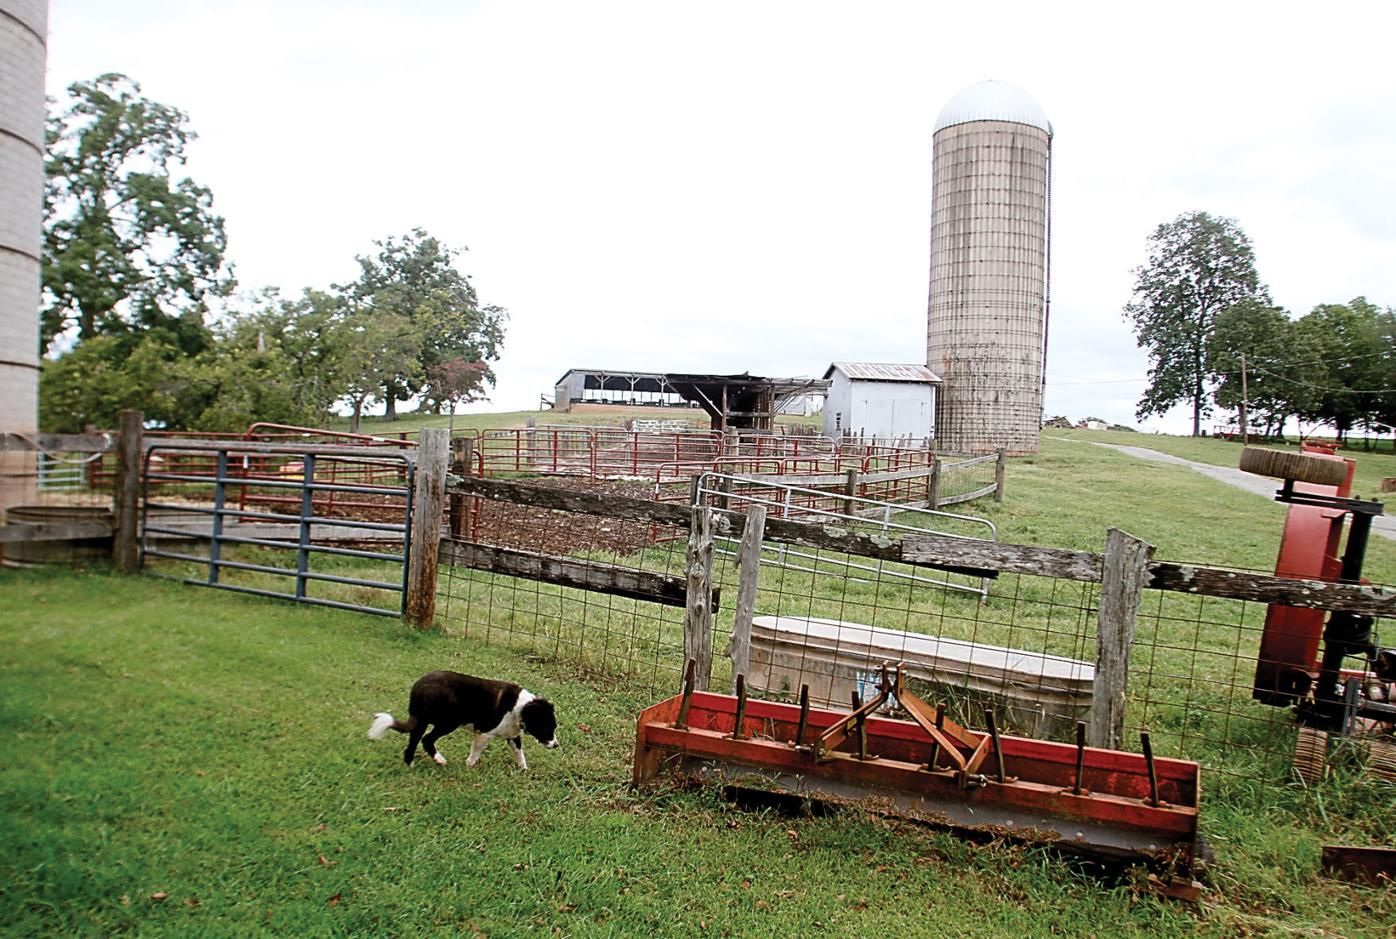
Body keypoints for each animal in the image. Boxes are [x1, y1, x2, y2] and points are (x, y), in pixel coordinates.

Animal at [368, 666, 558, 770]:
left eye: (554, 728)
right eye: (546, 728)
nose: (556, 745)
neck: (520, 707)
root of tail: (418, 688)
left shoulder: (512, 735)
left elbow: (519, 753)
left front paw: (524, 770)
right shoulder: (483, 733)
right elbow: (476, 752)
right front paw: (469, 765)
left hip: (424, 720)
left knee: (415, 739)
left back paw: (410, 763)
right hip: (448, 722)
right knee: (426, 739)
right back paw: (439, 760)